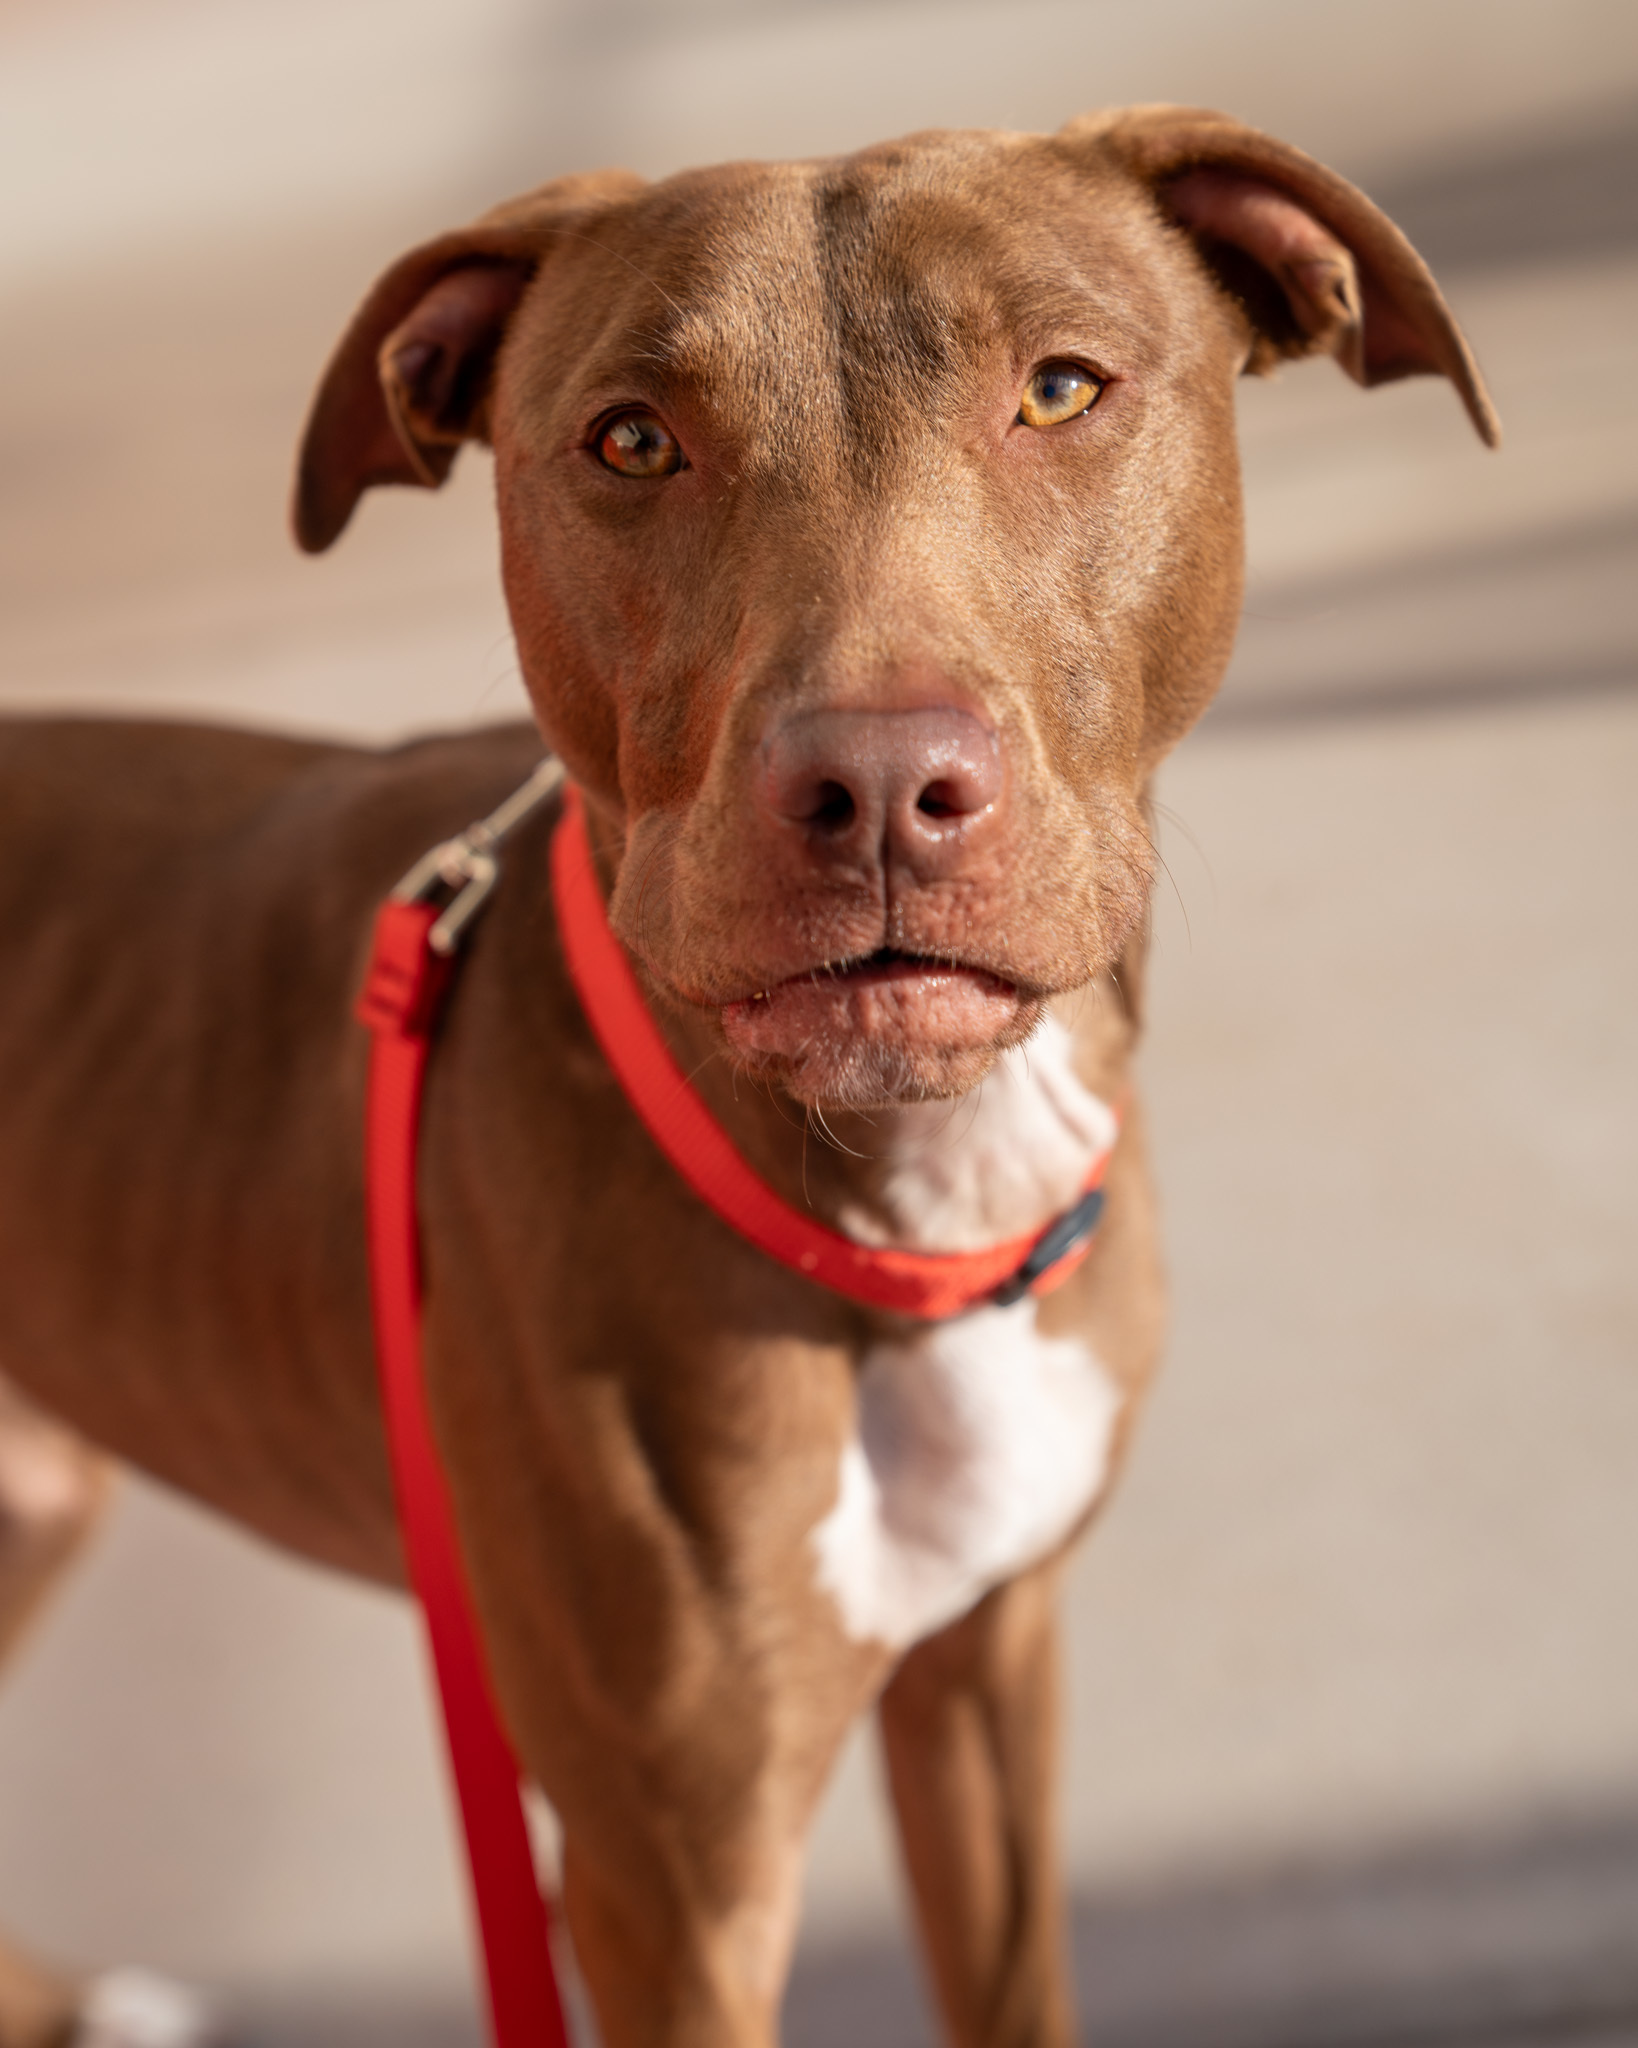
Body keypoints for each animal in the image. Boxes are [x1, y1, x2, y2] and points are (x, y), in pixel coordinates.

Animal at [0, 108, 1490, 2048]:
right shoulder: (673, 1890)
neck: (913, 1194)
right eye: (633, 440)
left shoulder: (985, 1680)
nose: (875, 786)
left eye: (1060, 388)